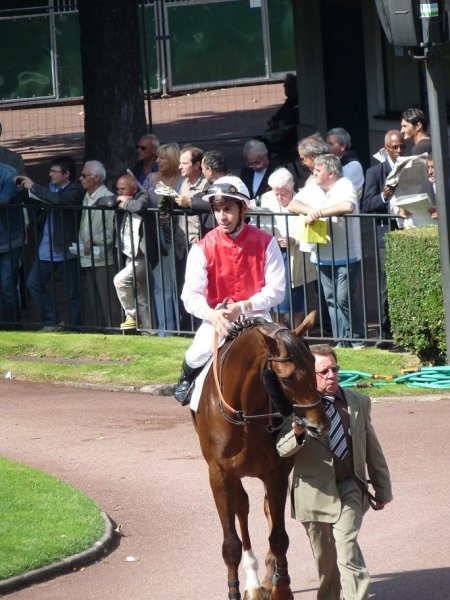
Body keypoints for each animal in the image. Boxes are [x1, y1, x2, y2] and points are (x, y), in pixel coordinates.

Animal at [192, 314, 328, 600]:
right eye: (286, 377)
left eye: (314, 366)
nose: (319, 425)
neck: (245, 413)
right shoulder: (219, 475)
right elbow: (231, 543)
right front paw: (234, 590)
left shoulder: (276, 473)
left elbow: (278, 537)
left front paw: (282, 587)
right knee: (242, 507)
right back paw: (253, 582)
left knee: (265, 510)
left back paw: (267, 578)